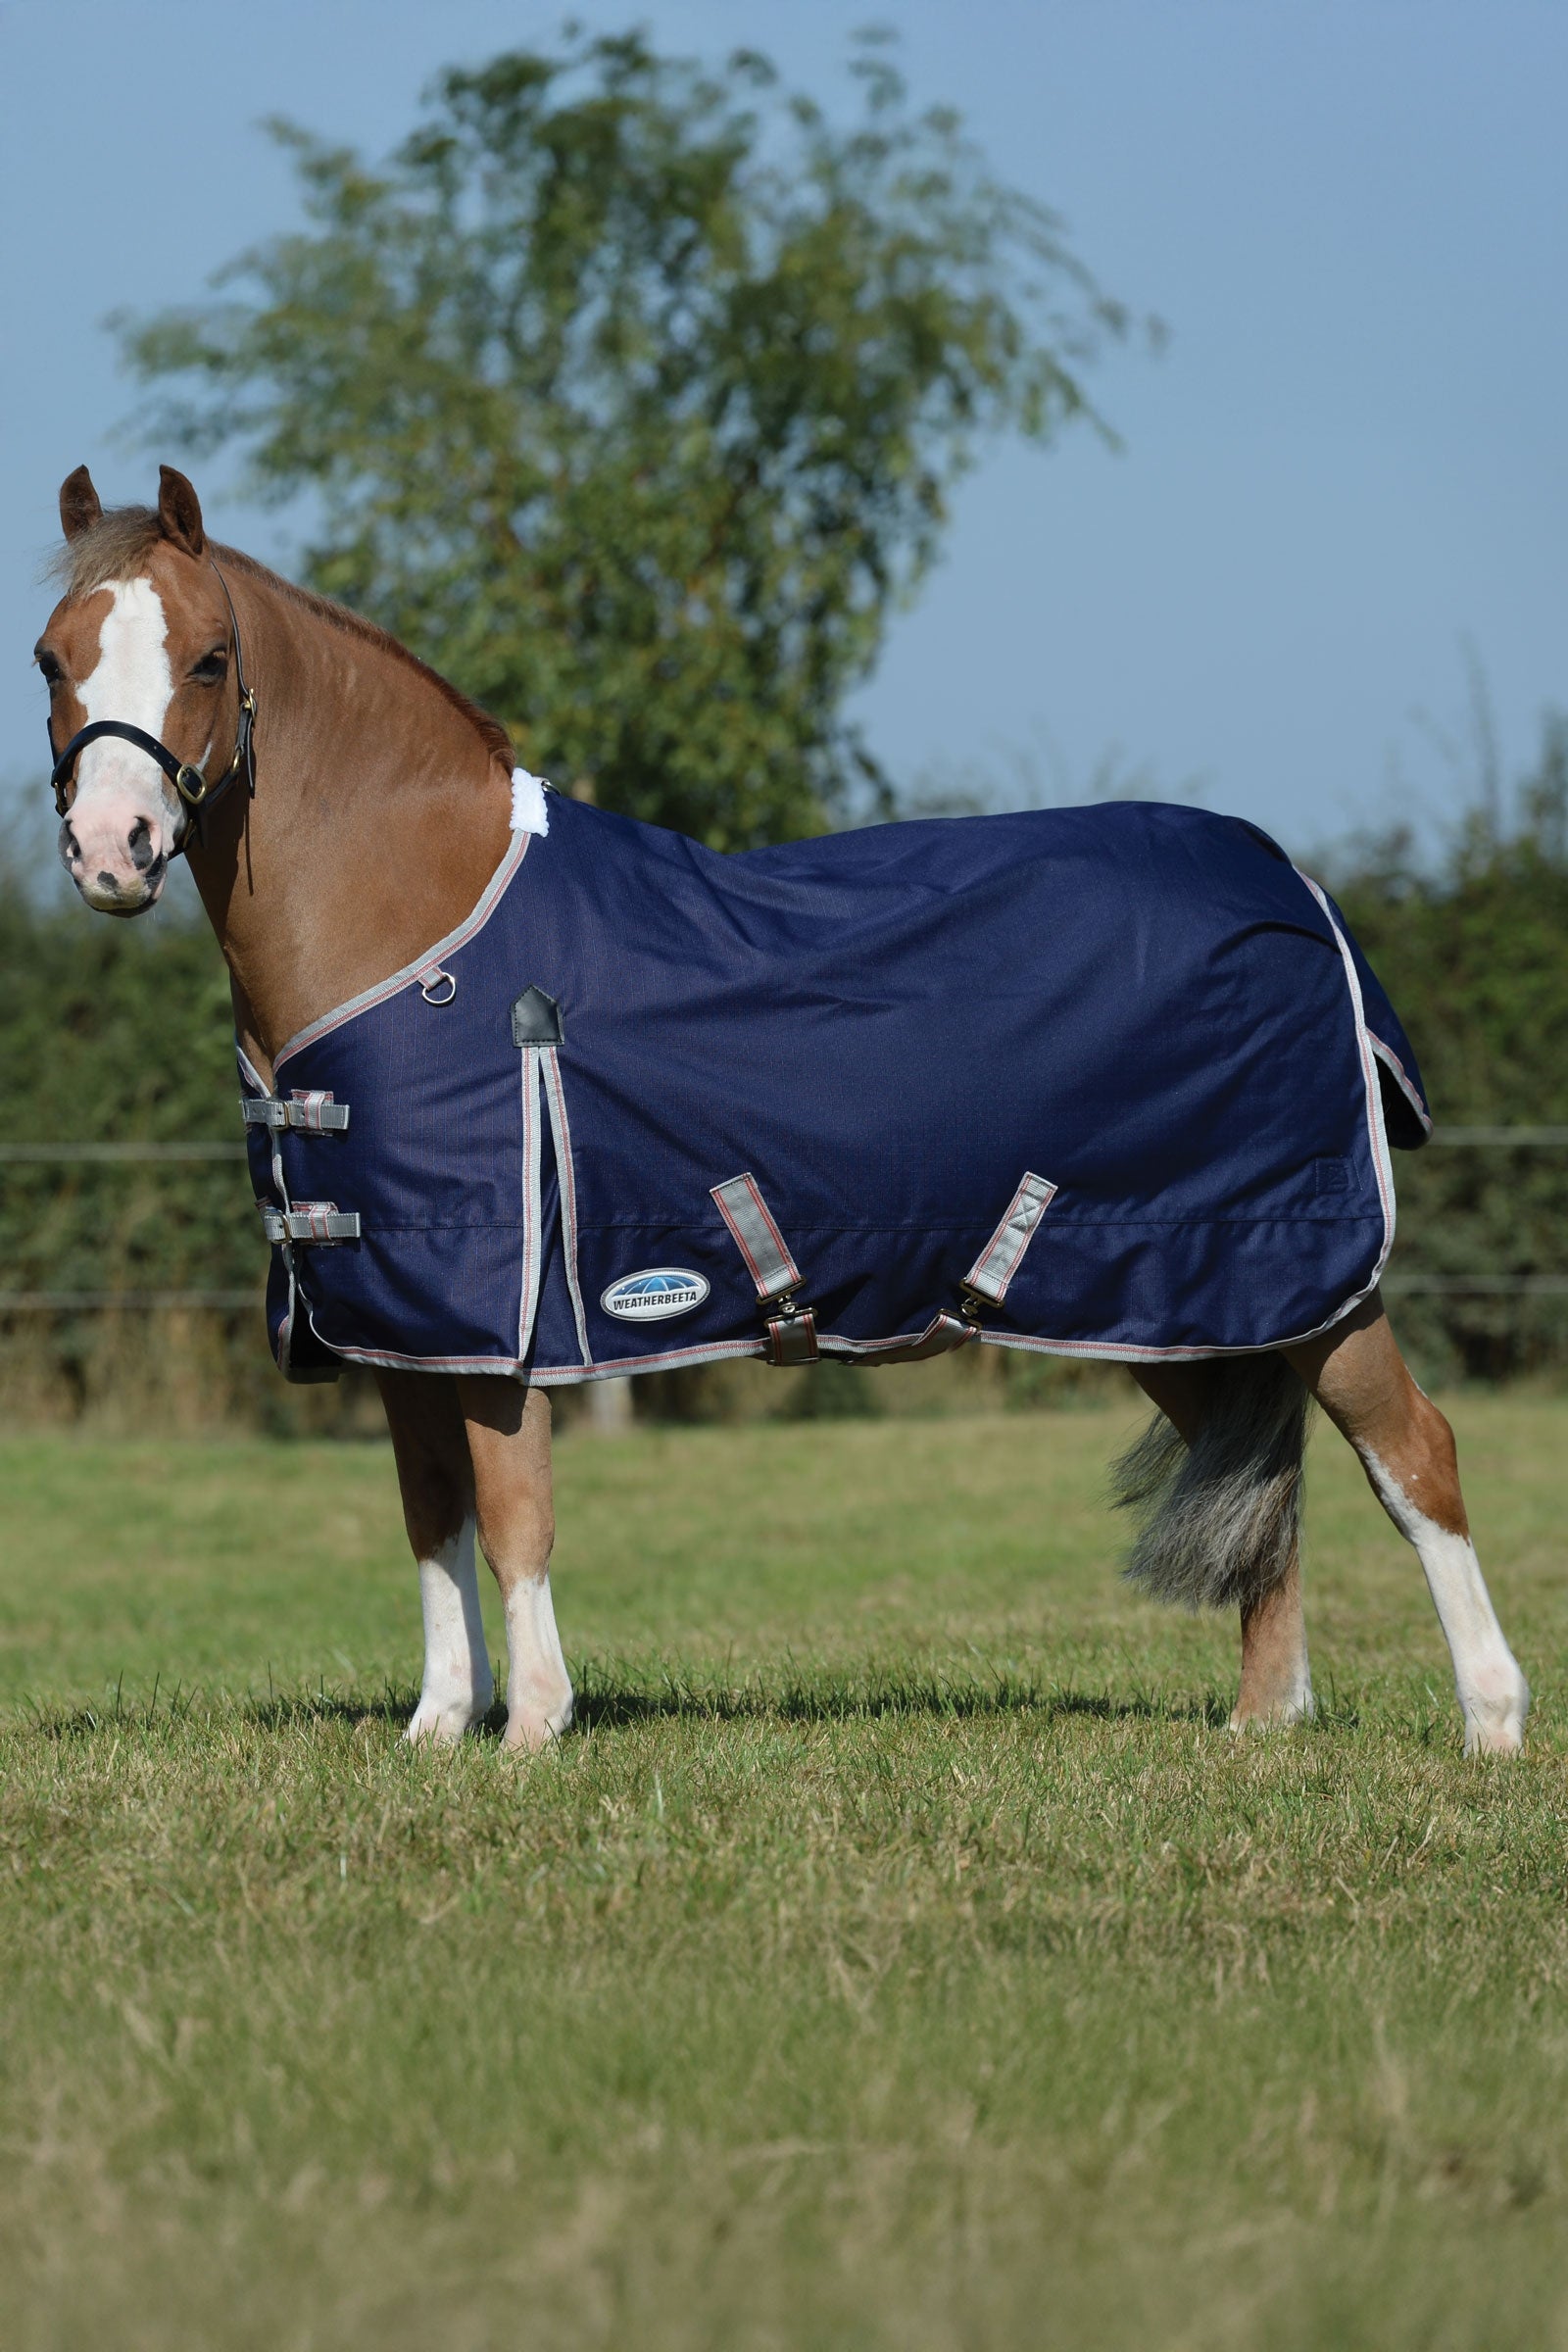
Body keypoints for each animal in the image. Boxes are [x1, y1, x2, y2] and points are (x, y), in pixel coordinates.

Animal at [32, 463, 1530, 1758]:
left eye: (209, 659)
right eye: (52, 658)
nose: (112, 853)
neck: (421, 927)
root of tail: (1293, 884)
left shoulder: (497, 1307)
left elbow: (513, 1515)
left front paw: (533, 1730)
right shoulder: (403, 1316)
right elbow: (430, 1520)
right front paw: (438, 1730)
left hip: (1299, 1272)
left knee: (1414, 1454)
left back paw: (1490, 1725)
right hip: (1171, 1291)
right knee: (1262, 1473)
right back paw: (1263, 1725)